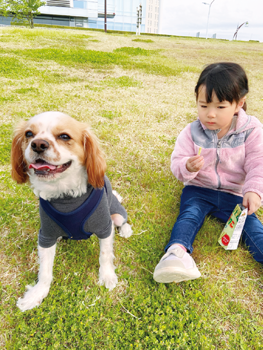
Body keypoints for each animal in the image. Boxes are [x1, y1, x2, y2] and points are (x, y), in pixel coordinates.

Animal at [11, 111, 133, 312]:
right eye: (29, 134)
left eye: (64, 136)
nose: (38, 144)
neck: (65, 194)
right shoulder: (46, 236)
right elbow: (45, 270)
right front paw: (37, 294)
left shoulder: (104, 227)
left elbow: (105, 255)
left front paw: (107, 276)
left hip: (116, 214)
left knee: (122, 220)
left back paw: (126, 229)